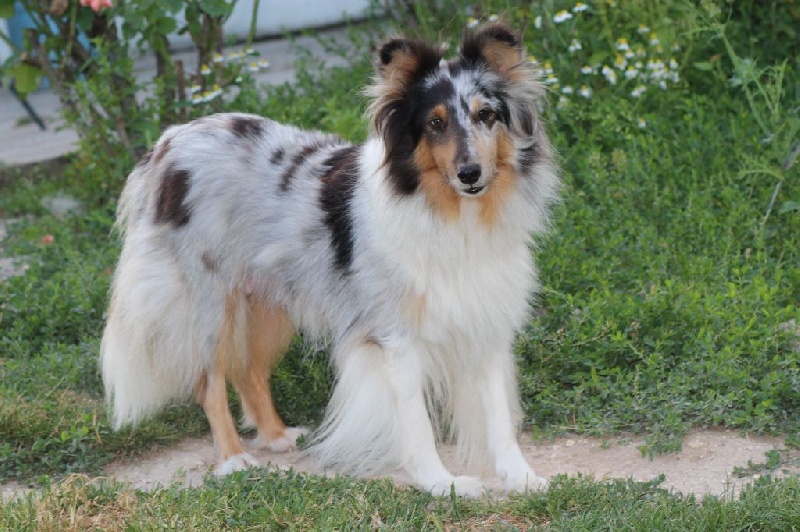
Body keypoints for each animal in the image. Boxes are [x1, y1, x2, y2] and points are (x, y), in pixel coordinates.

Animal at [100, 23, 560, 498]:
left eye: (487, 115)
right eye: (435, 123)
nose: (470, 174)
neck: (452, 215)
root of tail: (168, 142)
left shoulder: (485, 322)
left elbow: (498, 417)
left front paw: (522, 477)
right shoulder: (396, 339)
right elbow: (417, 424)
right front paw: (442, 484)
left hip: (268, 304)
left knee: (248, 369)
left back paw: (276, 436)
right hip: (207, 304)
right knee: (210, 380)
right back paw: (232, 459)